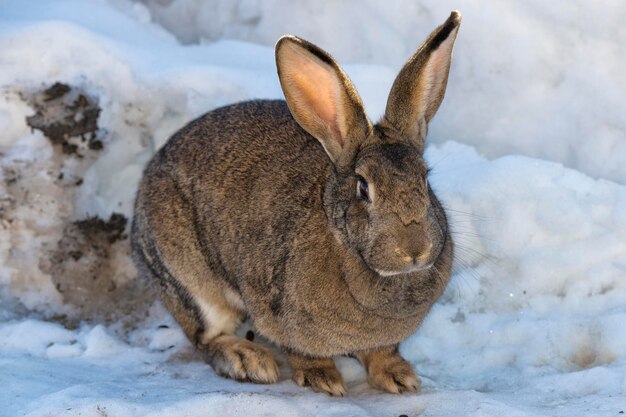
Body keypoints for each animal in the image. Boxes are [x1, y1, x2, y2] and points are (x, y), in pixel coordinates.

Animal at [132, 8, 460, 394]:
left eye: (425, 178)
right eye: (363, 188)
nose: (415, 250)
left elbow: (381, 352)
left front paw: (399, 377)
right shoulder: (275, 307)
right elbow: (301, 351)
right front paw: (324, 379)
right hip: (189, 279)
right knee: (206, 337)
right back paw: (250, 361)